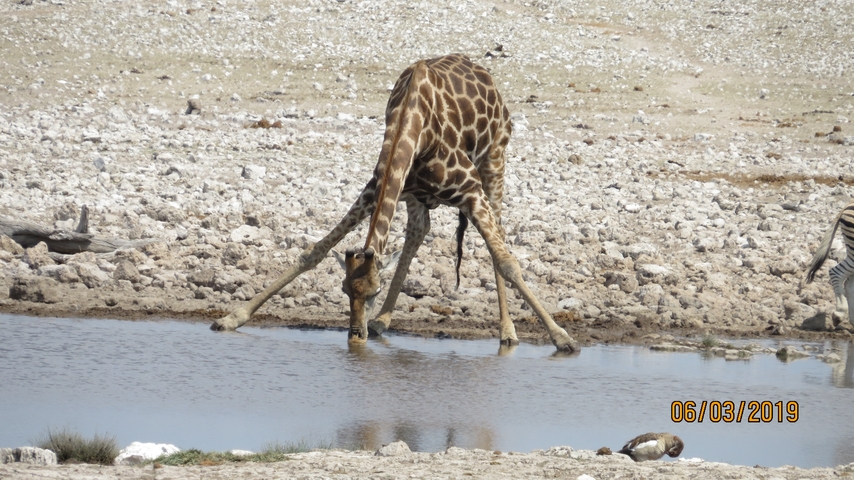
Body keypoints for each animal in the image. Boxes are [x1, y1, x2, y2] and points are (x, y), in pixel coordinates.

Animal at [211, 54, 579, 353]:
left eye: (373, 291)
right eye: (346, 291)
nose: (355, 335)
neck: (412, 123)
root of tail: (485, 76)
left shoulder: (471, 189)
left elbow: (506, 261)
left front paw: (562, 338)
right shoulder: (379, 187)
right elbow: (314, 251)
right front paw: (232, 318)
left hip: (494, 162)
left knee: (496, 238)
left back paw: (507, 332)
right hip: (418, 196)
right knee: (418, 230)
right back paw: (382, 321)